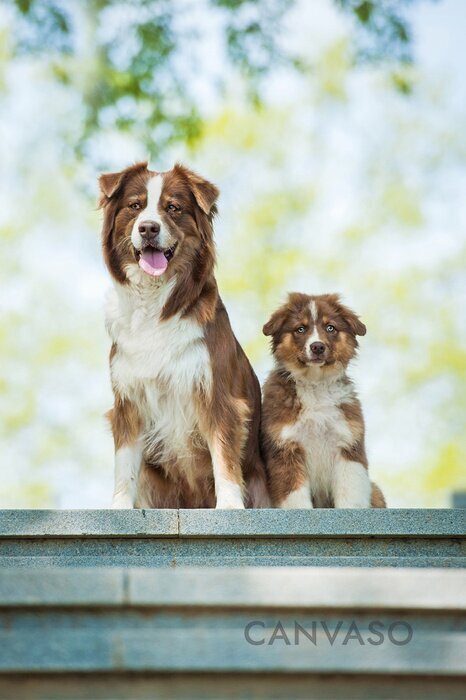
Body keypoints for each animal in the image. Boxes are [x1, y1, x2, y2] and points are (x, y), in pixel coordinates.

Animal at [260, 292, 384, 508]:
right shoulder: (286, 451)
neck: (315, 384)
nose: (317, 347)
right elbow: (297, 499)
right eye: (300, 329)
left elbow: (350, 497)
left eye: (330, 328)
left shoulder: (348, 446)